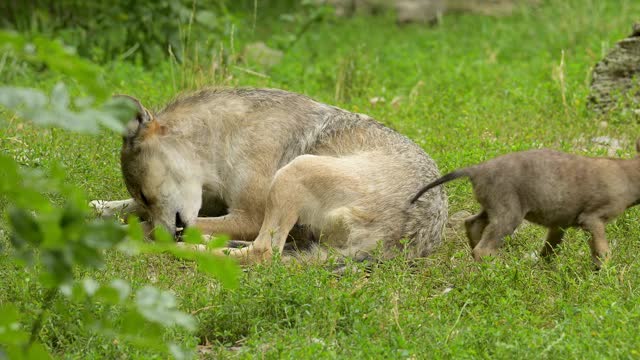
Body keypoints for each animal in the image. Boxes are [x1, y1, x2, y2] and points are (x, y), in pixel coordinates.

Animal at [92, 88, 448, 262]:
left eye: (146, 194)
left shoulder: (249, 215)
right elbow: (121, 210)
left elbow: (145, 226)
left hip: (295, 171)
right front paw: (99, 207)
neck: (222, 138)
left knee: (262, 253)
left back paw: (191, 247)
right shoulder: (211, 202)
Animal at [410, 142, 640, 268]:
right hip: (509, 214)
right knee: (483, 249)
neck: (628, 174)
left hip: (493, 209)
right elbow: (603, 253)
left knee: (472, 226)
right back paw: (497, 271)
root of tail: (477, 169)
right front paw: (605, 275)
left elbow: (548, 253)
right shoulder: (592, 220)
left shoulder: (559, 224)